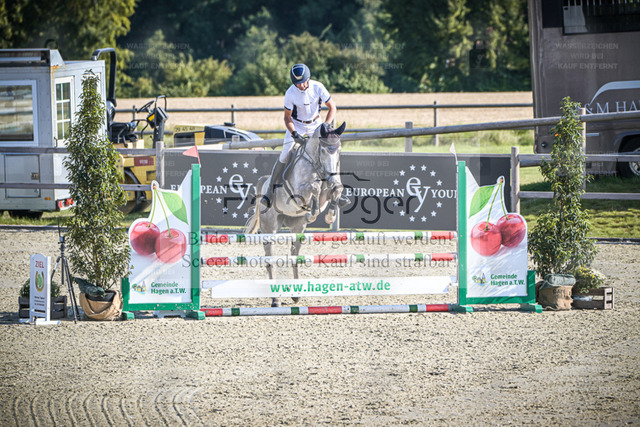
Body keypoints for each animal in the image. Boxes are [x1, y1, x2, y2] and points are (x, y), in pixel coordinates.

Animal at [245, 122, 347, 307]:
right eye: (323, 150)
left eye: (338, 150)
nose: (331, 176)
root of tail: (264, 182)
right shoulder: (300, 190)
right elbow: (314, 187)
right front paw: (313, 212)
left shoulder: (330, 189)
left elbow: (336, 188)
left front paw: (329, 215)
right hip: (269, 228)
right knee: (270, 261)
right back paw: (275, 300)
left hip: (297, 227)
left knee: (294, 257)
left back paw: (296, 294)